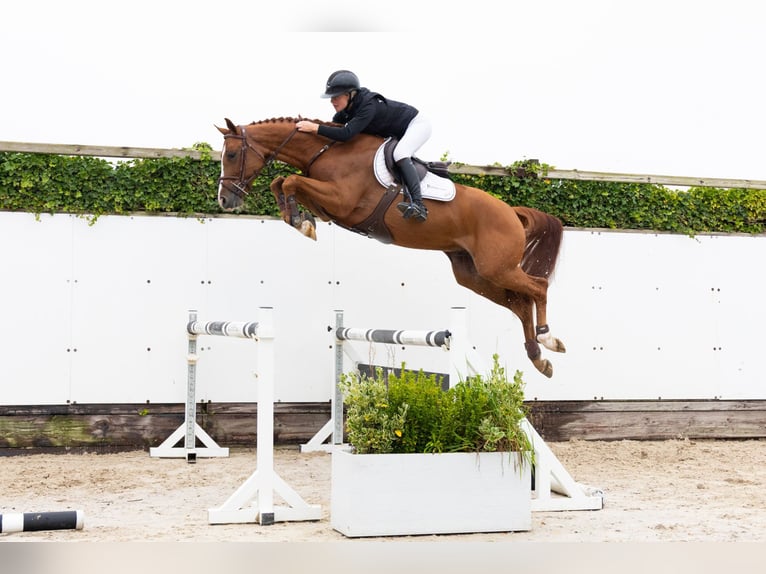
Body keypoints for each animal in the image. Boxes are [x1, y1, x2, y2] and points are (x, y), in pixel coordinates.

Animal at [216, 117, 566, 377]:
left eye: (231, 155)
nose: (225, 200)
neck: (328, 151)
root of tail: (511, 212)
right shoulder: (328, 203)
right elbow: (284, 182)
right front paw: (300, 220)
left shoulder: (341, 200)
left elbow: (289, 180)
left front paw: (300, 221)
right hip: (474, 275)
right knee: (520, 303)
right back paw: (539, 358)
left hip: (497, 267)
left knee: (537, 287)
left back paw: (548, 338)